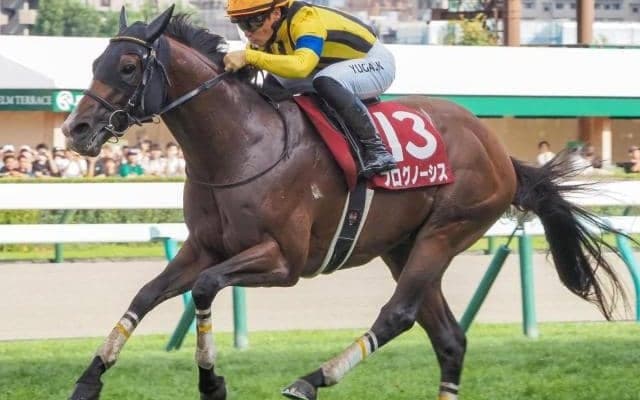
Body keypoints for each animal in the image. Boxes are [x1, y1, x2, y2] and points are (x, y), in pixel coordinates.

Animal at [61, 6, 627, 400]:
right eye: (94, 61)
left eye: (128, 65)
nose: (76, 129)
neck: (241, 145)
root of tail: (498, 151)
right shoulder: (202, 248)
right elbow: (145, 295)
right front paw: (89, 379)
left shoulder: (283, 261)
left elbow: (204, 288)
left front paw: (211, 383)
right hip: (403, 245)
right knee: (448, 338)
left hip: (448, 230)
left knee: (398, 314)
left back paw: (312, 378)